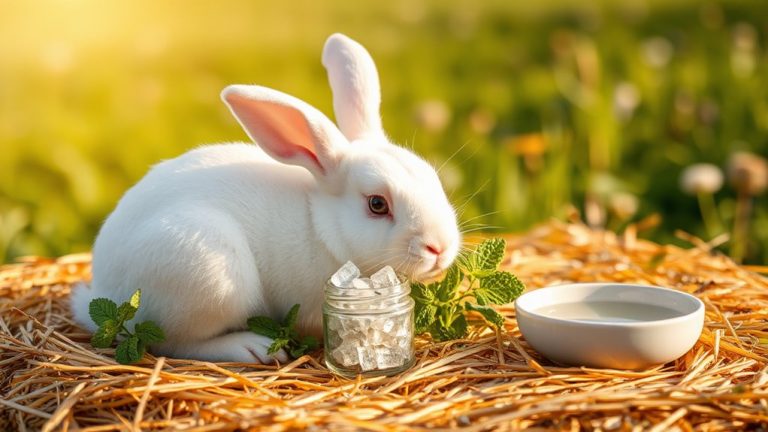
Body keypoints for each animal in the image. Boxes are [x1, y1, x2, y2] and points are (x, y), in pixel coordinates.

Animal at [70, 33, 461, 364]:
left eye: (432, 178)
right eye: (377, 204)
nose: (439, 247)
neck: (321, 226)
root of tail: (102, 288)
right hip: (209, 275)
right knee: (174, 342)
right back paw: (251, 348)